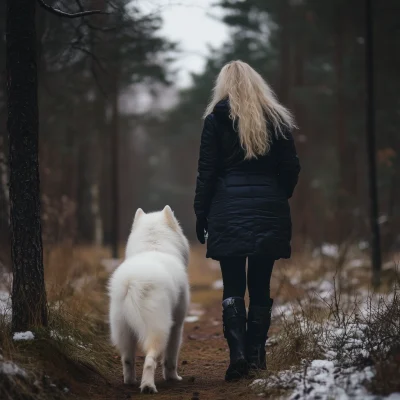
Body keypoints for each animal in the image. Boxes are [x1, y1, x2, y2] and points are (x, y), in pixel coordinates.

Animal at [108, 206, 191, 394]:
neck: (153, 246)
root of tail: (132, 281)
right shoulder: (177, 326)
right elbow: (170, 359)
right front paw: (173, 378)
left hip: (123, 330)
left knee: (127, 359)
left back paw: (130, 381)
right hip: (159, 329)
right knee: (149, 360)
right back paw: (147, 386)